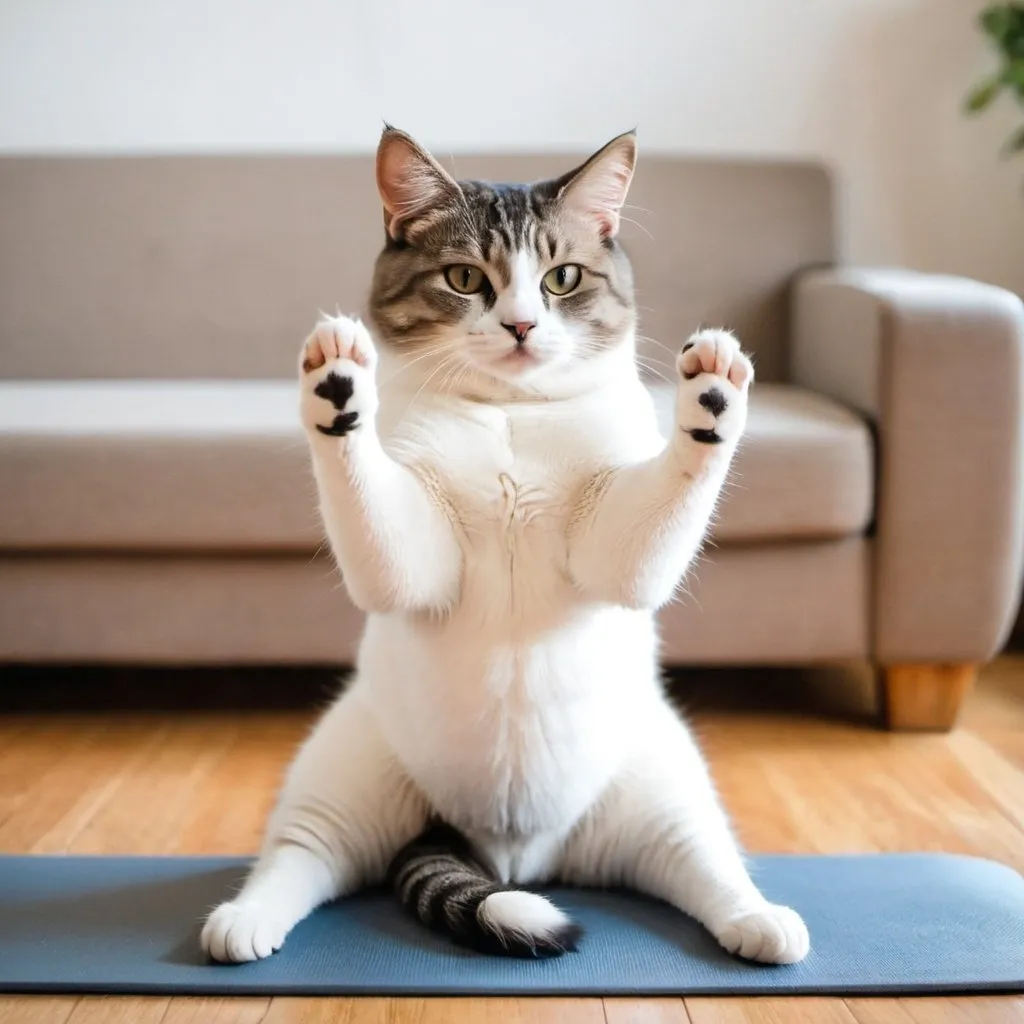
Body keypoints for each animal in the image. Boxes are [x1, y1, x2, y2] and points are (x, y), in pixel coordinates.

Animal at [197, 128, 806, 966]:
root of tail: (509, 855)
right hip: (340, 773)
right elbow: (378, 521)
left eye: (562, 277)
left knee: (707, 865)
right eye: (465, 278)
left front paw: (711, 394)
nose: (521, 326)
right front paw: (339, 386)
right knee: (298, 855)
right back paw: (245, 920)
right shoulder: (417, 555)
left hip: (668, 787)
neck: (512, 415)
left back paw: (760, 919)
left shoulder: (614, 549)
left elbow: (651, 526)